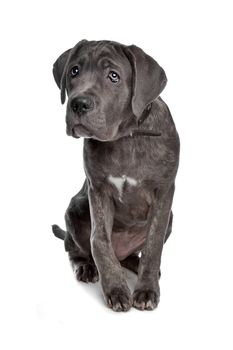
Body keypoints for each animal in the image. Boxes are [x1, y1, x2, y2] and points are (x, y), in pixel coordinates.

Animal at [52, 39, 180, 312]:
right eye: (74, 71)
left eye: (114, 76)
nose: (78, 103)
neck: (126, 136)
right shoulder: (97, 190)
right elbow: (98, 240)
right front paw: (116, 290)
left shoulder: (164, 192)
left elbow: (153, 245)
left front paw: (146, 289)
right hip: (75, 207)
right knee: (74, 248)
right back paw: (86, 267)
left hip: (171, 217)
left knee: (134, 255)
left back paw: (137, 266)